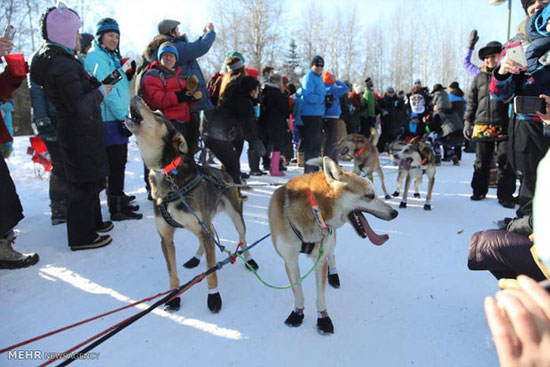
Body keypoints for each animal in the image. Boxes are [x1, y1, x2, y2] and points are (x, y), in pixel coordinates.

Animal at [125, 96, 258, 314]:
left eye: (158, 114)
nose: (136, 96)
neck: (168, 174)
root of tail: (226, 174)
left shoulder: (202, 229)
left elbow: (211, 273)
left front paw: (214, 298)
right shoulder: (166, 238)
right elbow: (172, 274)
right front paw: (174, 298)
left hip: (234, 217)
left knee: (243, 239)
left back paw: (250, 260)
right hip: (200, 224)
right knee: (209, 236)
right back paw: (196, 258)